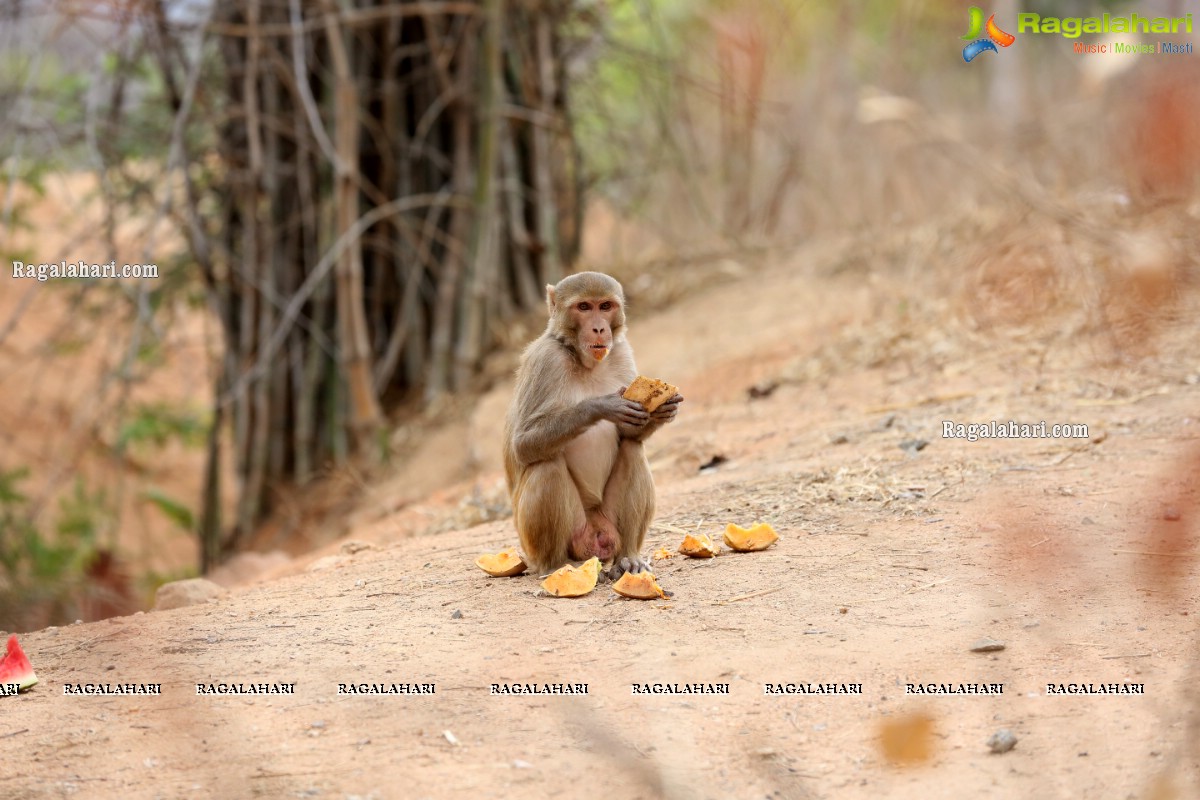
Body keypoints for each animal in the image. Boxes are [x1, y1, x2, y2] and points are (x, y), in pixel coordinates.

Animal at [499, 272, 686, 578]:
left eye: (605, 306)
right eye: (584, 307)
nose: (599, 329)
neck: (585, 361)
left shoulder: (621, 351)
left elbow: (630, 433)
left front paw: (663, 409)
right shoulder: (545, 360)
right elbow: (523, 444)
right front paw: (603, 405)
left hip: (608, 526)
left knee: (632, 449)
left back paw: (628, 558)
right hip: (543, 542)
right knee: (546, 465)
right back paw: (557, 566)